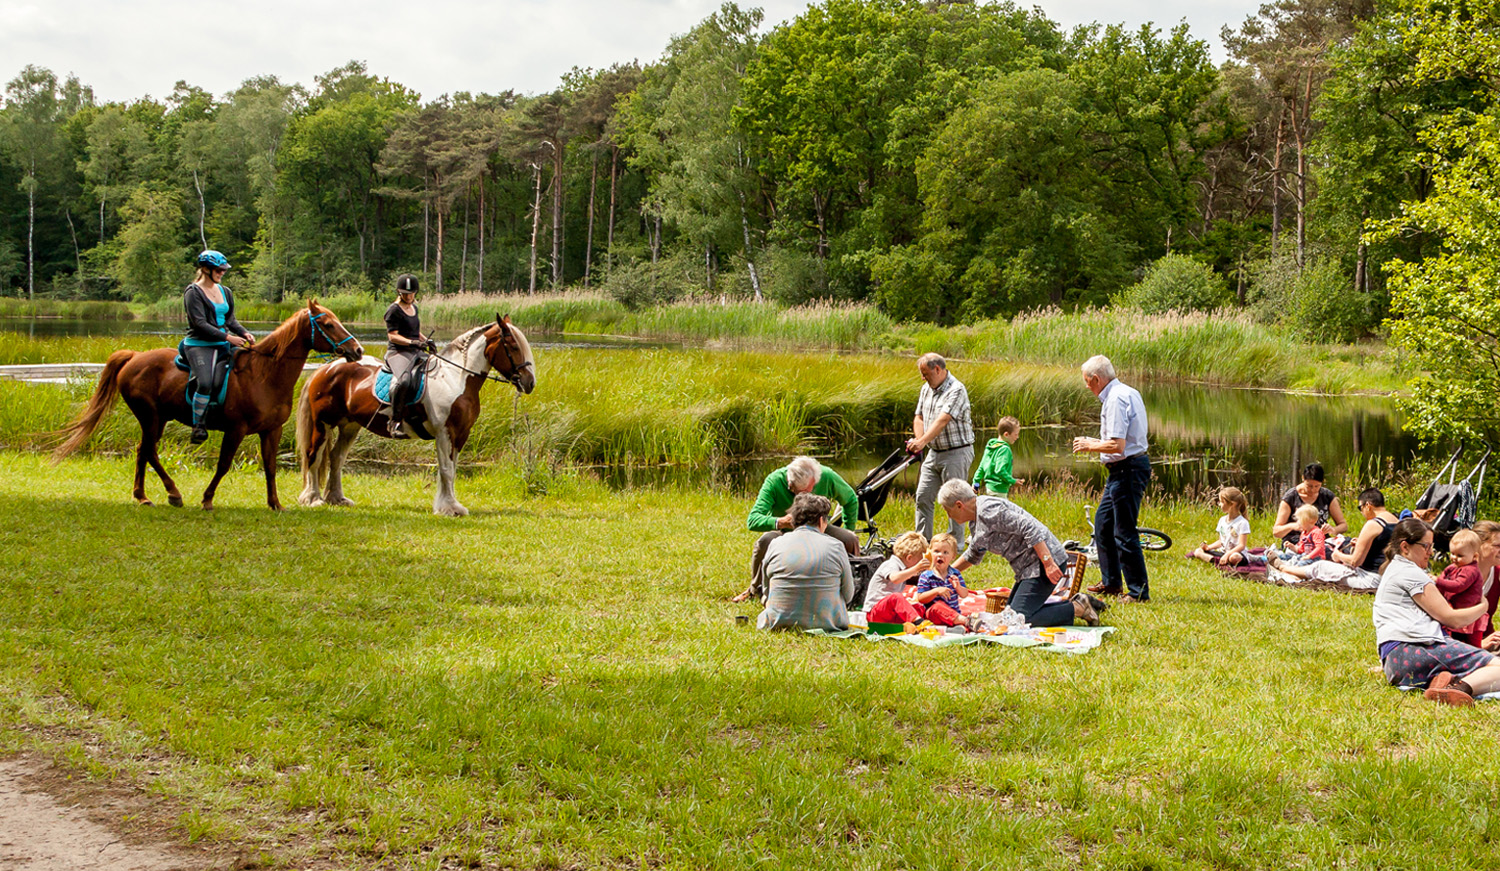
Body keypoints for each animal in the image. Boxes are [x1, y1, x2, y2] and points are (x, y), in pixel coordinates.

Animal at [54, 301, 364, 509]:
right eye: (327, 324)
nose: (357, 350)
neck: (264, 374)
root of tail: (133, 357)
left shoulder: (271, 430)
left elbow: (271, 466)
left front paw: (275, 504)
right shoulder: (236, 429)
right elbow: (224, 464)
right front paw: (207, 499)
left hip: (158, 419)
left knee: (143, 451)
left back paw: (143, 496)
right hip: (150, 416)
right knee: (150, 451)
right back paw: (173, 494)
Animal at [295, 314, 537, 512]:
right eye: (513, 346)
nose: (529, 383)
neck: (456, 378)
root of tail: (325, 368)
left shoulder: (460, 435)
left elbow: (451, 469)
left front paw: (448, 504)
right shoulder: (445, 432)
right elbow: (446, 469)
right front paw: (450, 508)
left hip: (349, 426)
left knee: (336, 457)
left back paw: (336, 498)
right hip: (323, 423)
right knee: (314, 455)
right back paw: (313, 499)